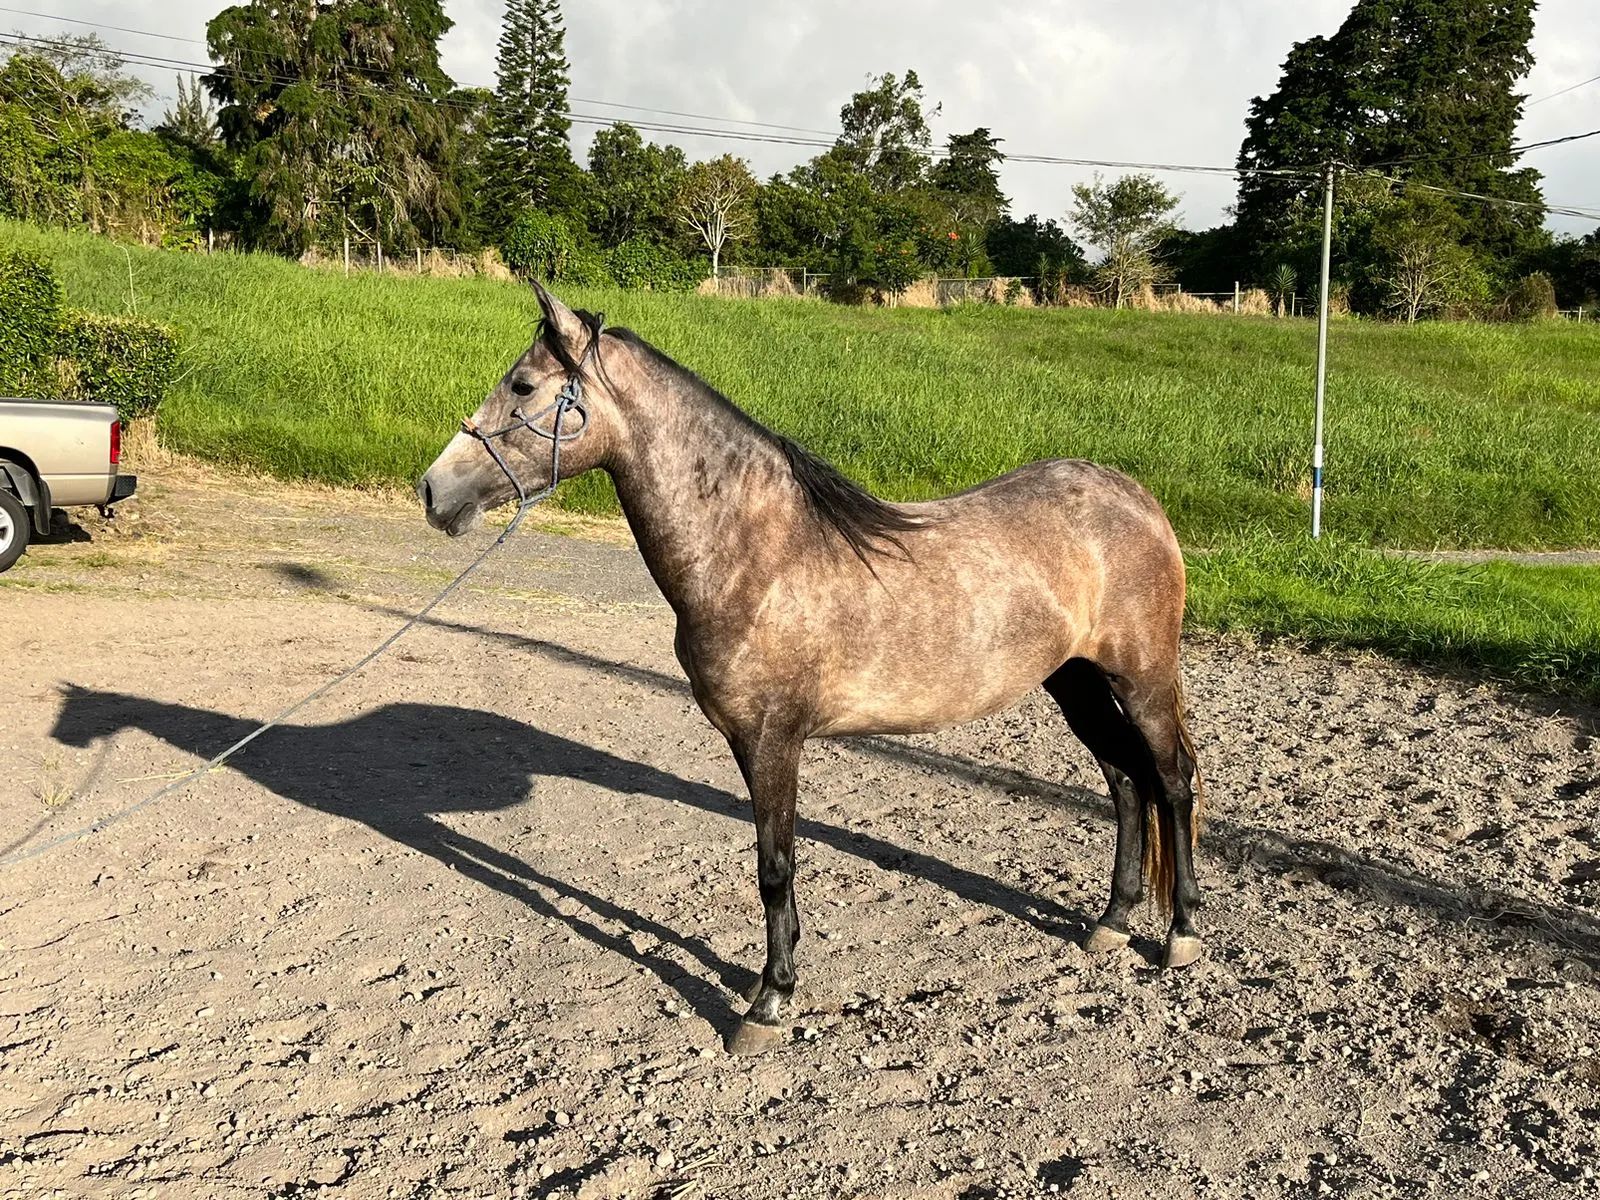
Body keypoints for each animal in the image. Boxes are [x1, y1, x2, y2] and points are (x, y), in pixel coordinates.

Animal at [418, 284, 1203, 1054]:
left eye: (523, 386)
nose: (434, 491)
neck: (755, 554)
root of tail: (1134, 497)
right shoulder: (751, 742)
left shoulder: (773, 740)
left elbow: (775, 867)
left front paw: (767, 1002)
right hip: (1075, 681)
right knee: (1123, 779)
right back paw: (1110, 921)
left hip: (1141, 680)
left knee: (1169, 781)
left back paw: (1181, 934)